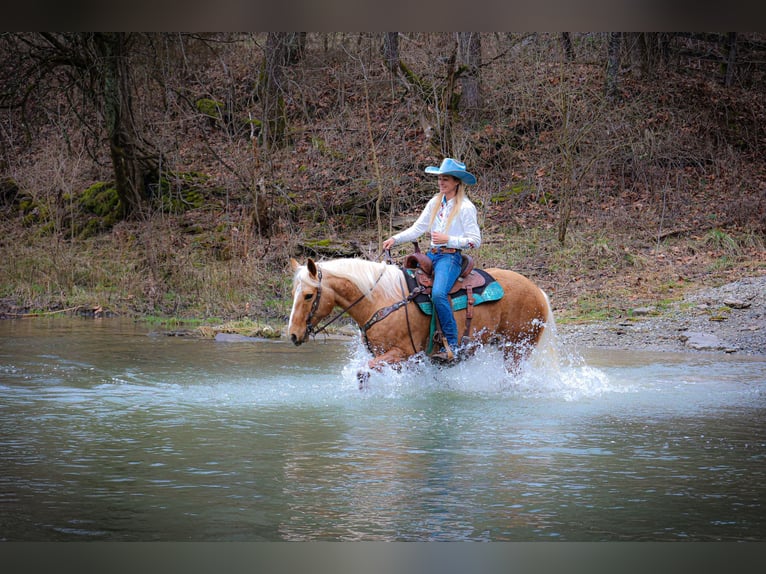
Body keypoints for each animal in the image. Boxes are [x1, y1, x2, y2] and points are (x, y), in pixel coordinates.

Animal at [286, 258, 552, 380]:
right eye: (293, 293)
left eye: (308, 295)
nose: (293, 334)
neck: (380, 300)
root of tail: (538, 291)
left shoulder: (401, 352)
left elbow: (365, 370)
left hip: (517, 348)